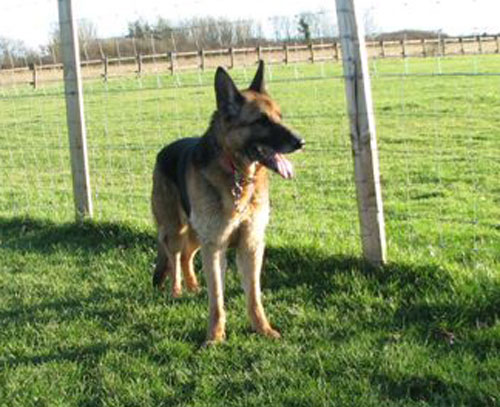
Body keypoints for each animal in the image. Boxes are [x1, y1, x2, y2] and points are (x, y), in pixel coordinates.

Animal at [150, 62, 302, 346]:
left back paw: (194, 287)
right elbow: (217, 299)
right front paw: (214, 337)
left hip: (197, 235)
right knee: (175, 257)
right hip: (177, 231)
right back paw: (177, 291)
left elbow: (254, 296)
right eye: (261, 121)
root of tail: (163, 151)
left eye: (280, 116)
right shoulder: (216, 246)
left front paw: (263, 329)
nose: (301, 142)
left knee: (187, 256)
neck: (237, 175)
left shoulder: (251, 244)